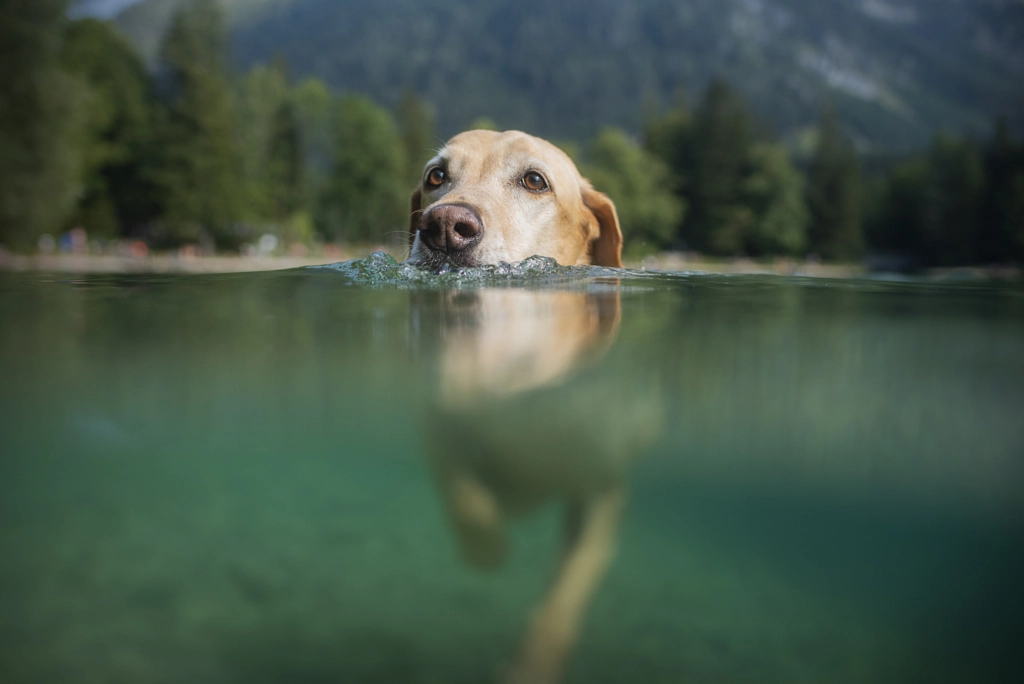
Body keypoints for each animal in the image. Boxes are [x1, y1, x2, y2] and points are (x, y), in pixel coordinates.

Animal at [407, 131, 655, 679]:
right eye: (436, 175)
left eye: (534, 180)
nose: (443, 227)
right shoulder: (437, 424)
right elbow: (460, 486)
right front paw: (488, 546)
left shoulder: (601, 492)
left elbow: (566, 592)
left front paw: (532, 666)